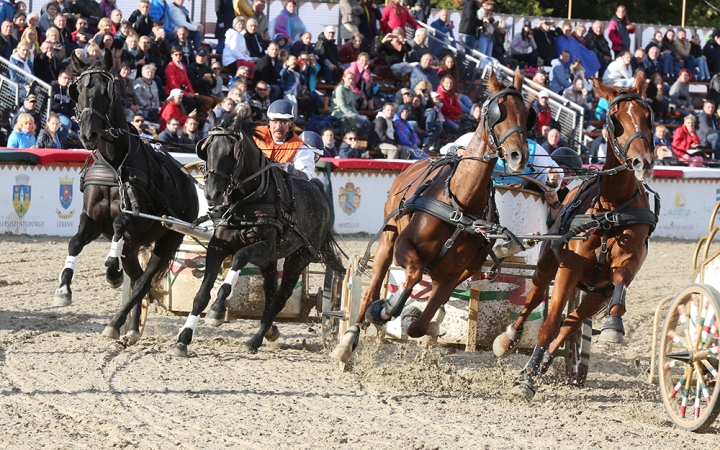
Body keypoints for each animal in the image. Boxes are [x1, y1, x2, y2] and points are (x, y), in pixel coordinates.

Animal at [53, 51, 200, 342]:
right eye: (78, 91)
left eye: (106, 91)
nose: (87, 134)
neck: (114, 163)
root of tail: (188, 181)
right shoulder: (92, 218)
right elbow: (75, 242)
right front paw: (64, 290)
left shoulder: (136, 219)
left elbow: (120, 224)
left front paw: (112, 271)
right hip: (134, 249)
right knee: (137, 279)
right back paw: (131, 327)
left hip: (167, 240)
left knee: (143, 282)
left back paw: (115, 323)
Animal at [170, 113, 348, 358]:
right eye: (206, 148)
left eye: (232, 151)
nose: (212, 193)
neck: (247, 201)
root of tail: (319, 192)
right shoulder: (219, 245)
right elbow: (201, 296)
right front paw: (183, 339)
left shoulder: (263, 248)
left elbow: (238, 259)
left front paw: (217, 310)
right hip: (273, 260)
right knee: (271, 291)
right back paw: (267, 331)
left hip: (299, 256)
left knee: (280, 297)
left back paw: (255, 339)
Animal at [332, 68, 536, 364]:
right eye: (498, 112)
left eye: (526, 114)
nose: (518, 156)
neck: (459, 205)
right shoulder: (405, 246)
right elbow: (412, 276)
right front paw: (383, 310)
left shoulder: (454, 274)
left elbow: (419, 324)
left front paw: (421, 321)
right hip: (387, 242)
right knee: (374, 287)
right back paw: (350, 339)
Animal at [496, 71, 660, 400]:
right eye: (614, 118)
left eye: (647, 115)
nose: (643, 162)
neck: (609, 209)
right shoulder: (568, 268)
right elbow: (547, 324)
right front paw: (525, 379)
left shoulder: (626, 265)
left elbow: (619, 282)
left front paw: (614, 325)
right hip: (547, 267)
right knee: (535, 302)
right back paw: (511, 340)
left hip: (594, 295)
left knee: (570, 324)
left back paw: (547, 361)